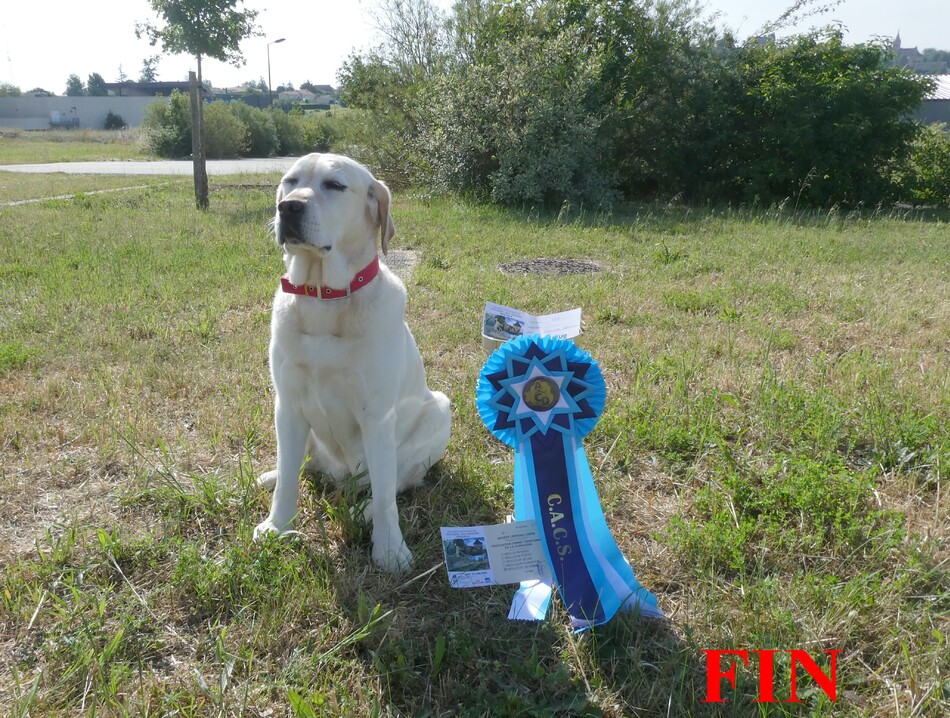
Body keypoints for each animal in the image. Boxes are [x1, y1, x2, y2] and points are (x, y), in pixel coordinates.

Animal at [255, 153, 452, 572]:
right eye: (290, 181)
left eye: (335, 185)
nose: (288, 207)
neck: (323, 296)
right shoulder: (288, 405)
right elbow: (289, 479)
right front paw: (277, 526)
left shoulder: (376, 415)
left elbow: (386, 493)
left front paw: (390, 549)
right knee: (301, 465)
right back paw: (273, 475)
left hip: (439, 409)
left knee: (397, 480)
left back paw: (364, 512)